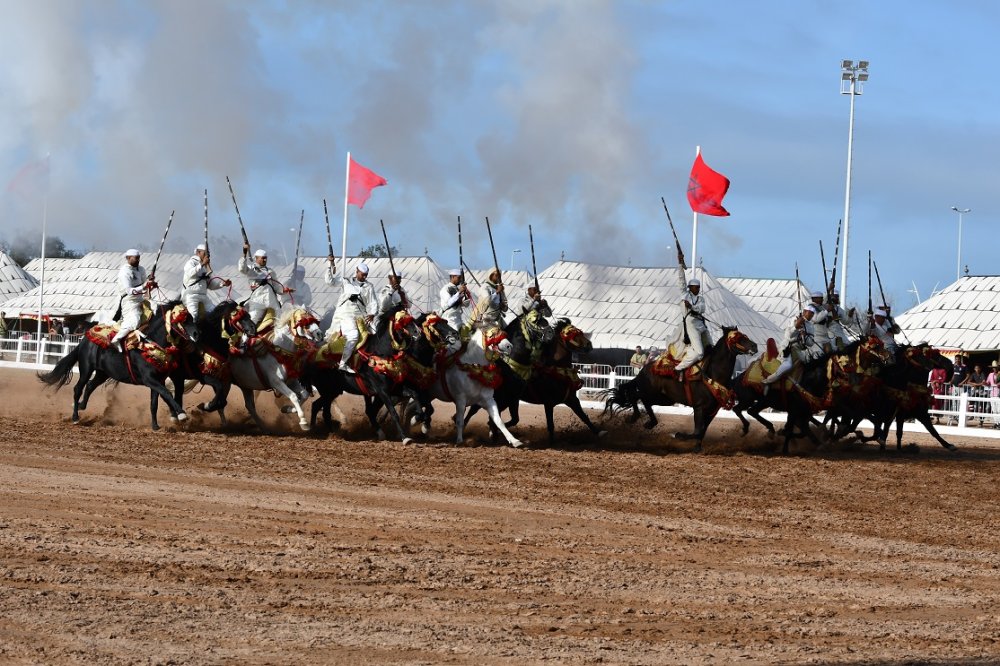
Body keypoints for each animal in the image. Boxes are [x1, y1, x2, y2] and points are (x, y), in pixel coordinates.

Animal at [39, 300, 199, 430]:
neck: (149, 346)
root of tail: (84, 341)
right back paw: (75, 417)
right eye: (184, 319)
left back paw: (80, 405)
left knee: (90, 386)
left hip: (103, 373)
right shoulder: (150, 380)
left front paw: (156, 425)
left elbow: (156, 401)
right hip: (86, 369)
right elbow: (167, 394)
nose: (197, 333)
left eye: (191, 317)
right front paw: (181, 415)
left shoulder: (157, 380)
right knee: (78, 388)